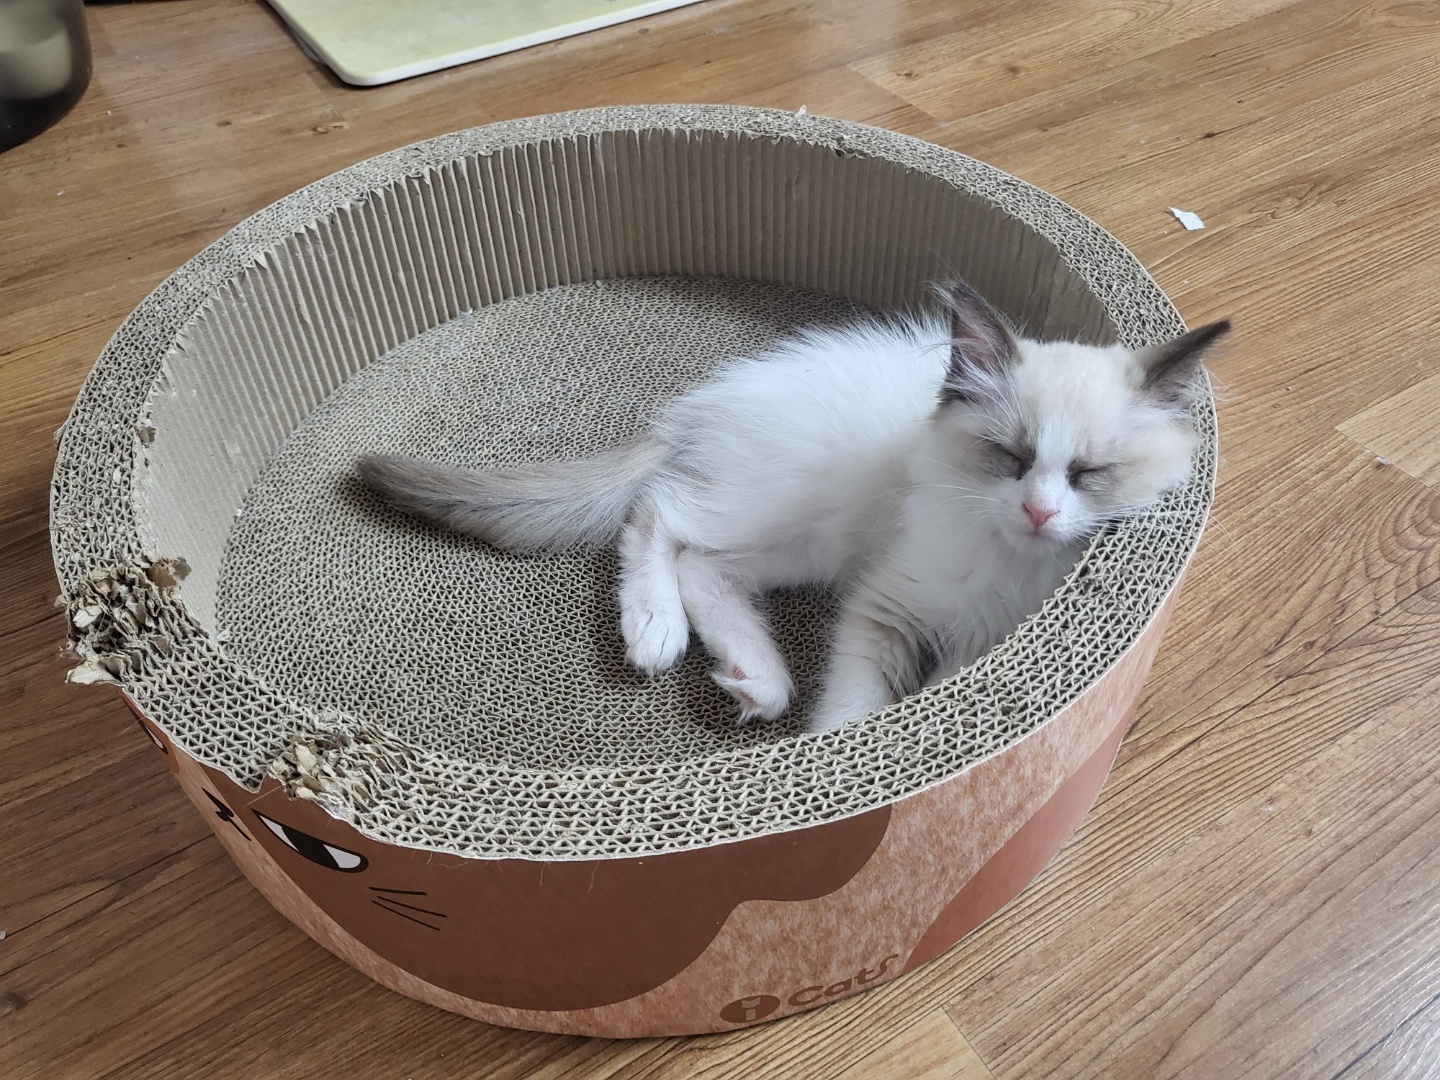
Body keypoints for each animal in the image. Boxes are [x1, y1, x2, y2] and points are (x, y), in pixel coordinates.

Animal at [359, 282, 1229, 733]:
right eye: (1011, 459)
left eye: (1088, 474)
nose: (1042, 514)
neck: (1014, 566)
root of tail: (703, 405)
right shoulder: (888, 607)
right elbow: (852, 713)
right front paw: (840, 765)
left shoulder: (962, 639)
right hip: (787, 502)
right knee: (658, 514)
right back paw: (657, 630)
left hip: (814, 541)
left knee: (707, 567)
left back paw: (757, 677)